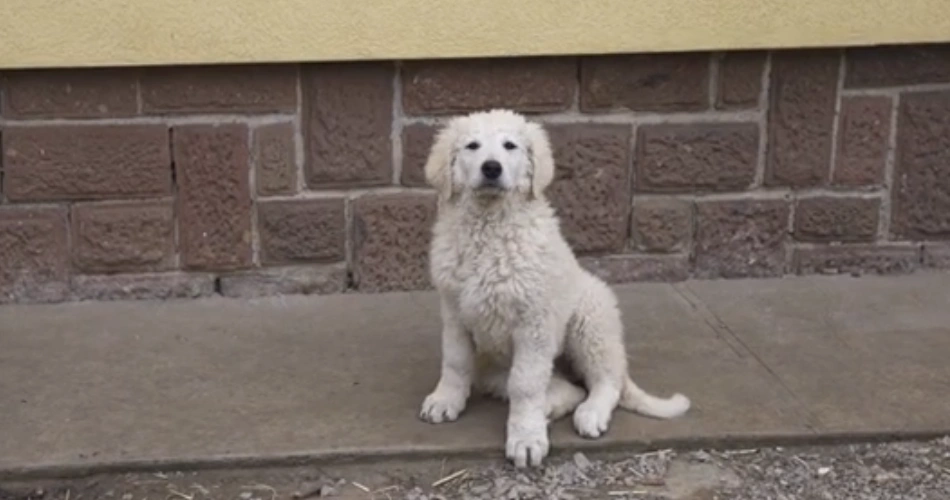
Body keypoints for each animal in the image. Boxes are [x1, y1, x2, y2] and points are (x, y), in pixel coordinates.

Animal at [418, 109, 692, 468]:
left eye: (510, 146)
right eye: (472, 146)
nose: (491, 168)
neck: (490, 225)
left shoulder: (534, 322)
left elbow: (526, 383)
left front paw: (525, 439)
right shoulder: (454, 312)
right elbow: (456, 362)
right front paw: (446, 399)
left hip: (590, 319)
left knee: (605, 382)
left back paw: (588, 413)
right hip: (496, 368)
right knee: (568, 389)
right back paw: (550, 408)